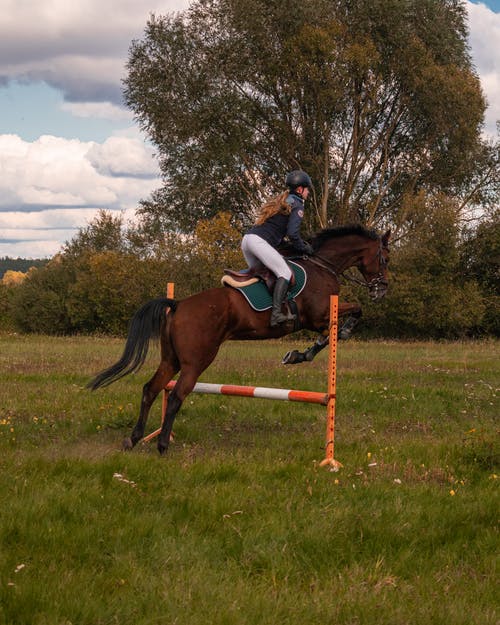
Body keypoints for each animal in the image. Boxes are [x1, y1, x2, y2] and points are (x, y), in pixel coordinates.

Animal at [88, 224, 388, 454]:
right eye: (385, 258)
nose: (382, 290)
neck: (322, 266)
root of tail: (178, 304)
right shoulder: (319, 316)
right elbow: (352, 314)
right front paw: (335, 336)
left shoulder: (319, 321)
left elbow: (329, 336)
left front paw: (298, 355)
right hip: (196, 361)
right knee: (174, 396)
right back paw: (162, 445)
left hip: (170, 359)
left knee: (151, 389)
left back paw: (134, 439)